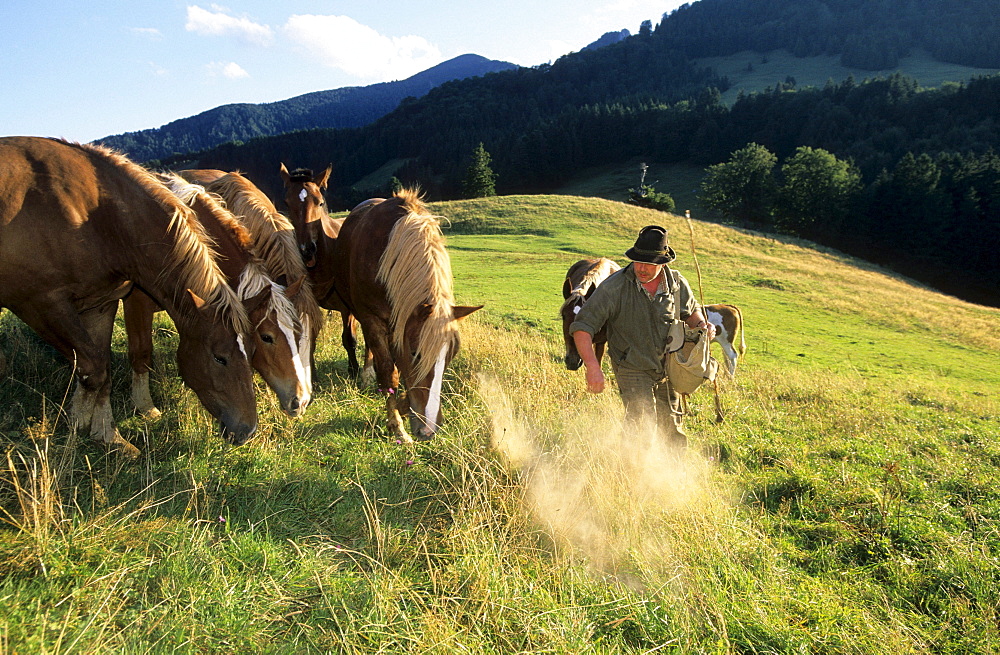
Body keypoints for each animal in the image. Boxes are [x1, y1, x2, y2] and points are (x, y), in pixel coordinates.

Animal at [0, 136, 258, 458]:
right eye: (219, 357)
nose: (248, 430)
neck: (95, 218)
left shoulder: (102, 303)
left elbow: (102, 370)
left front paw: (106, 434)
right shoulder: (42, 305)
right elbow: (93, 368)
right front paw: (78, 429)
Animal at [124, 173, 312, 420]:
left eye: (298, 332)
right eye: (266, 337)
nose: (300, 401)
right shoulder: (136, 301)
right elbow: (142, 350)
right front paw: (145, 406)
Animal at [280, 161, 374, 382]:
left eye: (320, 202)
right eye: (287, 203)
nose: (307, 249)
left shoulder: (347, 308)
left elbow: (349, 339)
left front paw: (354, 371)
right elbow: (310, 339)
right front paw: (312, 376)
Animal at [330, 190, 482, 446]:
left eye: (451, 356)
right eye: (416, 354)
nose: (429, 429)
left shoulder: (399, 325)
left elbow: (399, 371)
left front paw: (403, 405)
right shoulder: (373, 320)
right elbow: (388, 373)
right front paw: (397, 426)